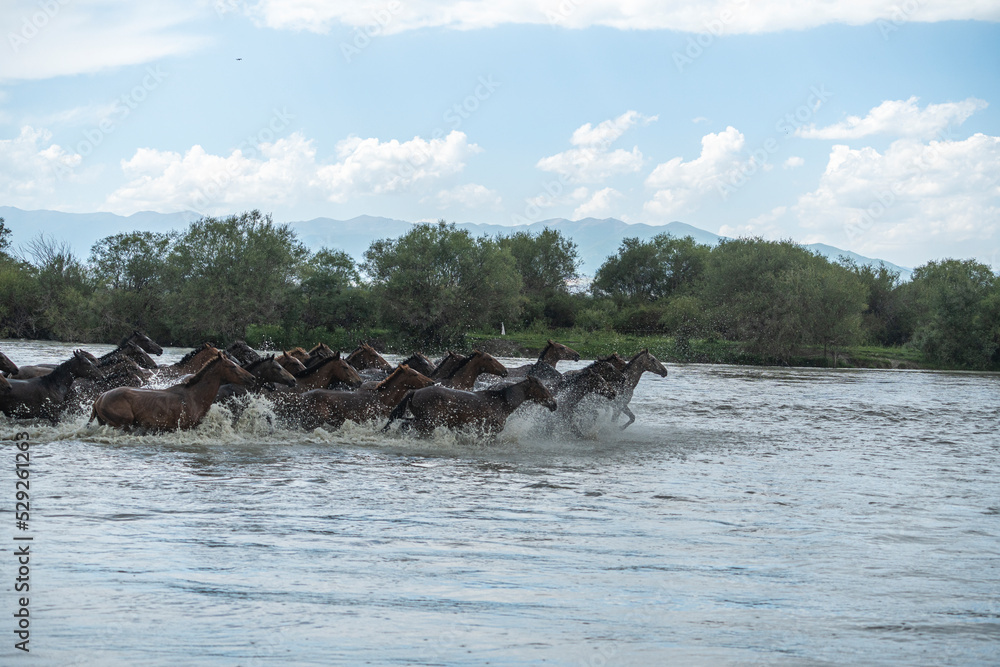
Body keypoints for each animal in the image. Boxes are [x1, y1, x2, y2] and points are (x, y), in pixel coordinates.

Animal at [383, 376, 557, 437]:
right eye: (542, 388)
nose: (554, 404)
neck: (501, 403)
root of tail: (415, 392)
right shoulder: (489, 432)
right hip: (427, 422)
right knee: (404, 426)